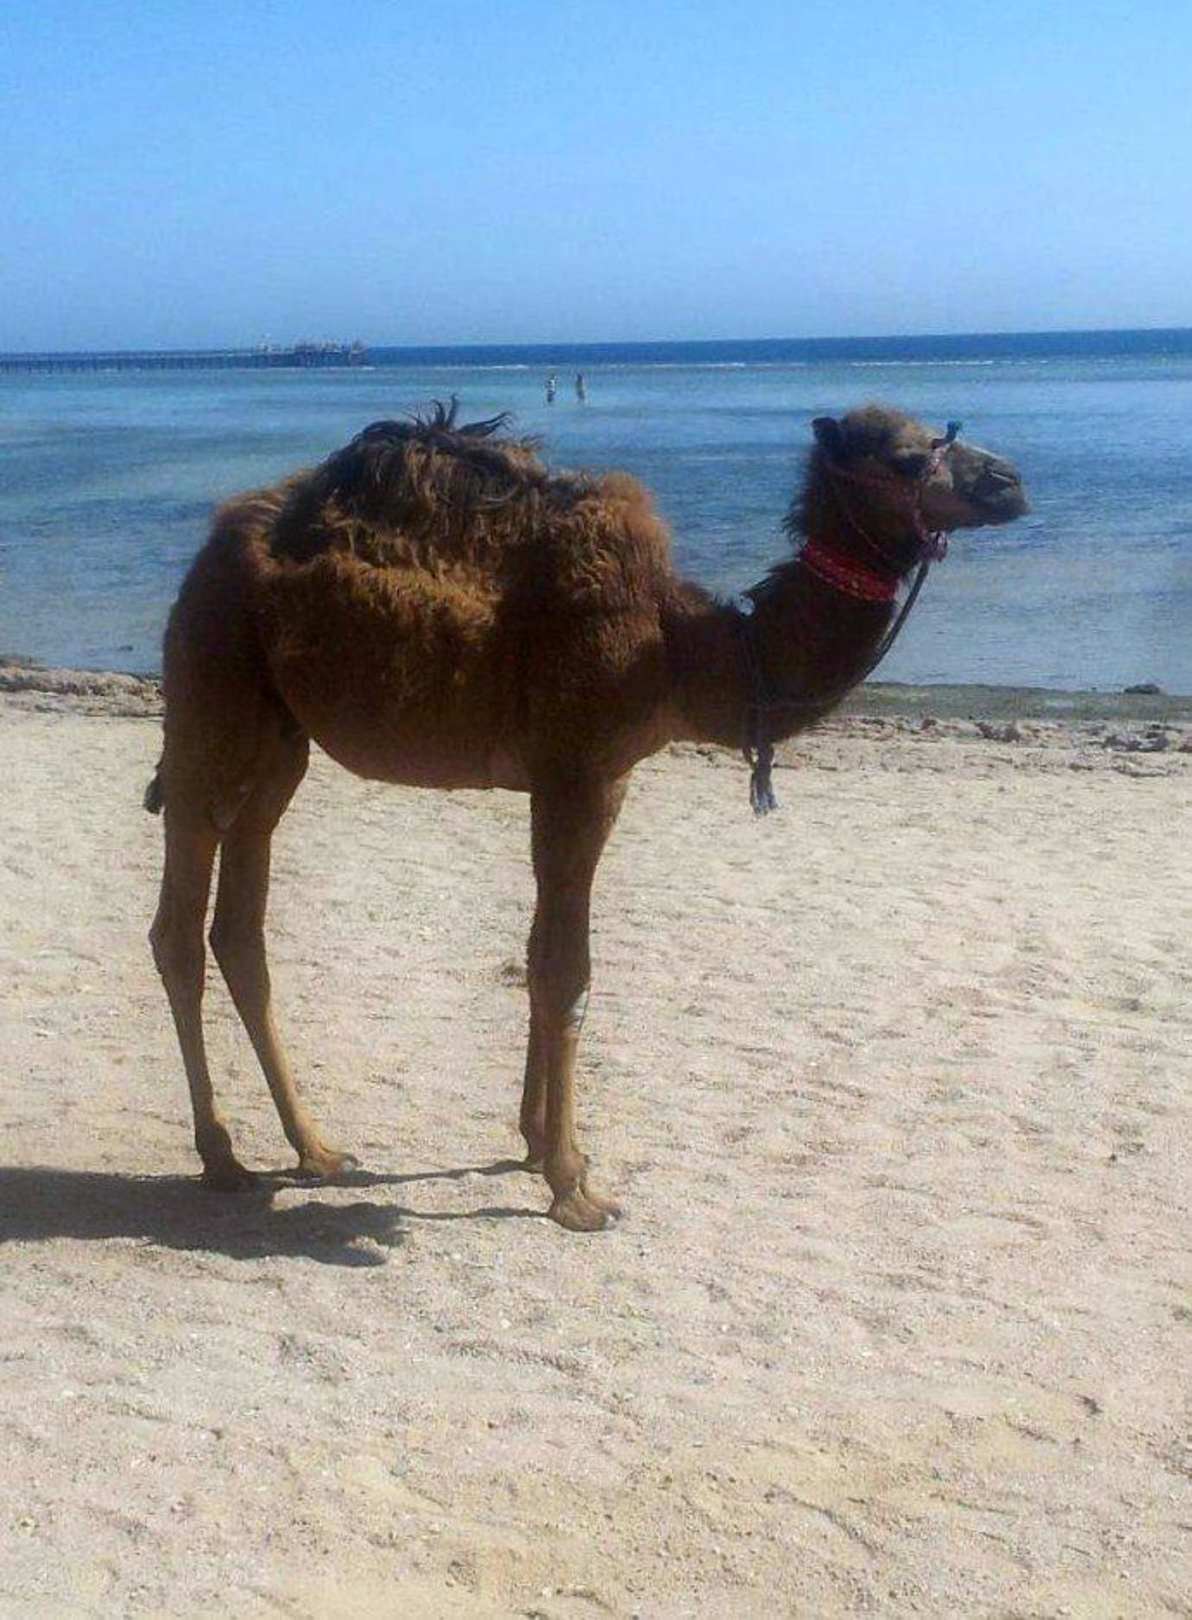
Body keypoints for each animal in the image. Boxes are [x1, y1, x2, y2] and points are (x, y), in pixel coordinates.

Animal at [147, 402, 1027, 1231]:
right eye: (908, 457)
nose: (1011, 483)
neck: (685, 647)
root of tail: (213, 545)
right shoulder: (578, 774)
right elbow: (568, 972)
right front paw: (575, 1188)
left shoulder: (602, 779)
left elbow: (540, 957)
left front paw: (539, 1143)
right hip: (212, 686)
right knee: (179, 925)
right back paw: (222, 1157)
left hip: (280, 738)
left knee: (241, 927)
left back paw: (316, 1148)